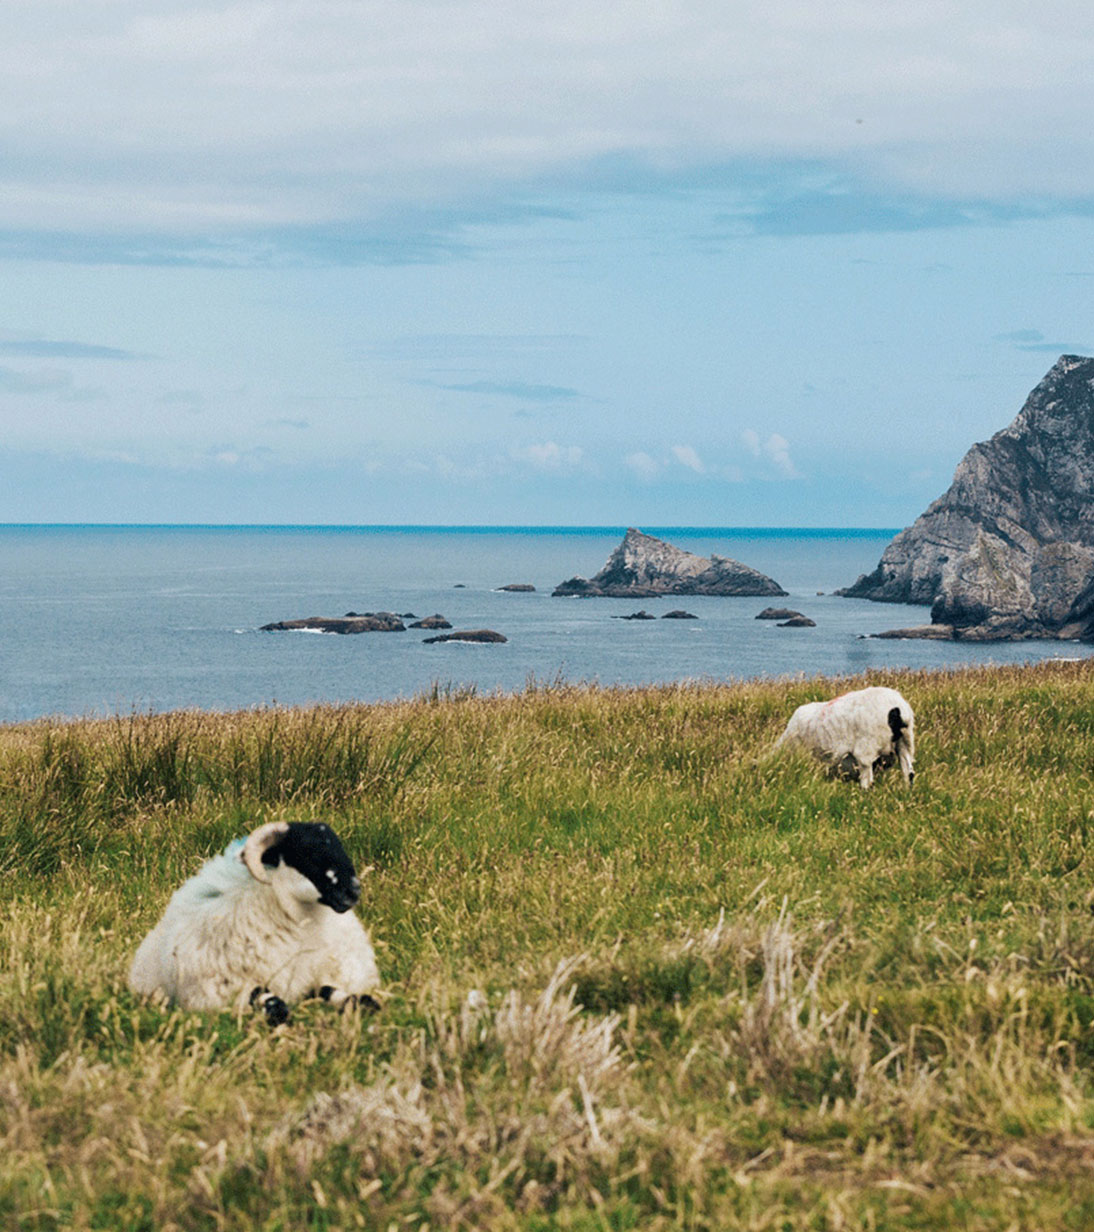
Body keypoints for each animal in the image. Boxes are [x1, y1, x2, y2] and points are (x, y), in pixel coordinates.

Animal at [128, 821, 381, 1025]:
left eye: (339, 846)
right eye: (307, 854)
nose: (353, 891)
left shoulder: (322, 975)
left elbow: (339, 992)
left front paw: (360, 1004)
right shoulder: (230, 989)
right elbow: (275, 1006)